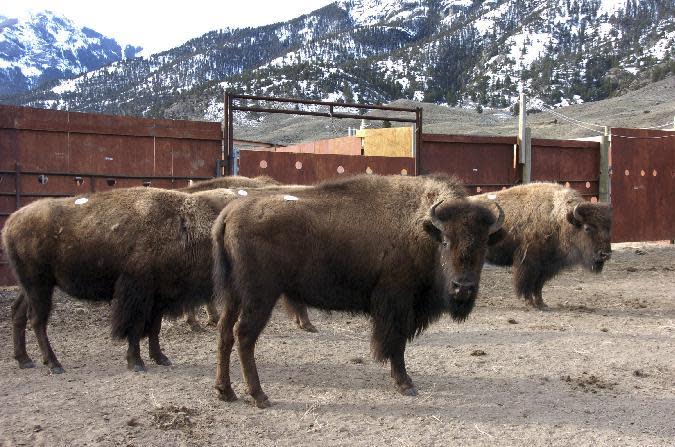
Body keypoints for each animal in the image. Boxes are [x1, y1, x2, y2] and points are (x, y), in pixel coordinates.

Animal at [1, 183, 312, 374]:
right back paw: (53, 364)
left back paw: (24, 360)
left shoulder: (161, 296)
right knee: (37, 321)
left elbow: (154, 328)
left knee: (18, 314)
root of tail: (12, 220)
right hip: (40, 286)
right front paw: (137, 362)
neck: (185, 226)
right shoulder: (138, 292)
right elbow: (135, 327)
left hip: (31, 287)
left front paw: (160, 357)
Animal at [214, 175, 504, 410]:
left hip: (233, 296)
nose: (463, 287)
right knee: (244, 335)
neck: (421, 227)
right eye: (445, 241)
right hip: (259, 296)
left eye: (483, 245)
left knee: (225, 332)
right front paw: (405, 384)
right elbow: (396, 344)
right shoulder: (397, 304)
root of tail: (229, 212)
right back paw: (259, 396)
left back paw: (225, 391)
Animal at [476, 184, 612, 310]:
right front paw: (531, 303)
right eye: (587, 228)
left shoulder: (546, 267)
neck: (558, 218)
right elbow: (527, 283)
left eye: (608, 228)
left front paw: (542, 303)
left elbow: (538, 286)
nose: (606, 254)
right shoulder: (528, 264)